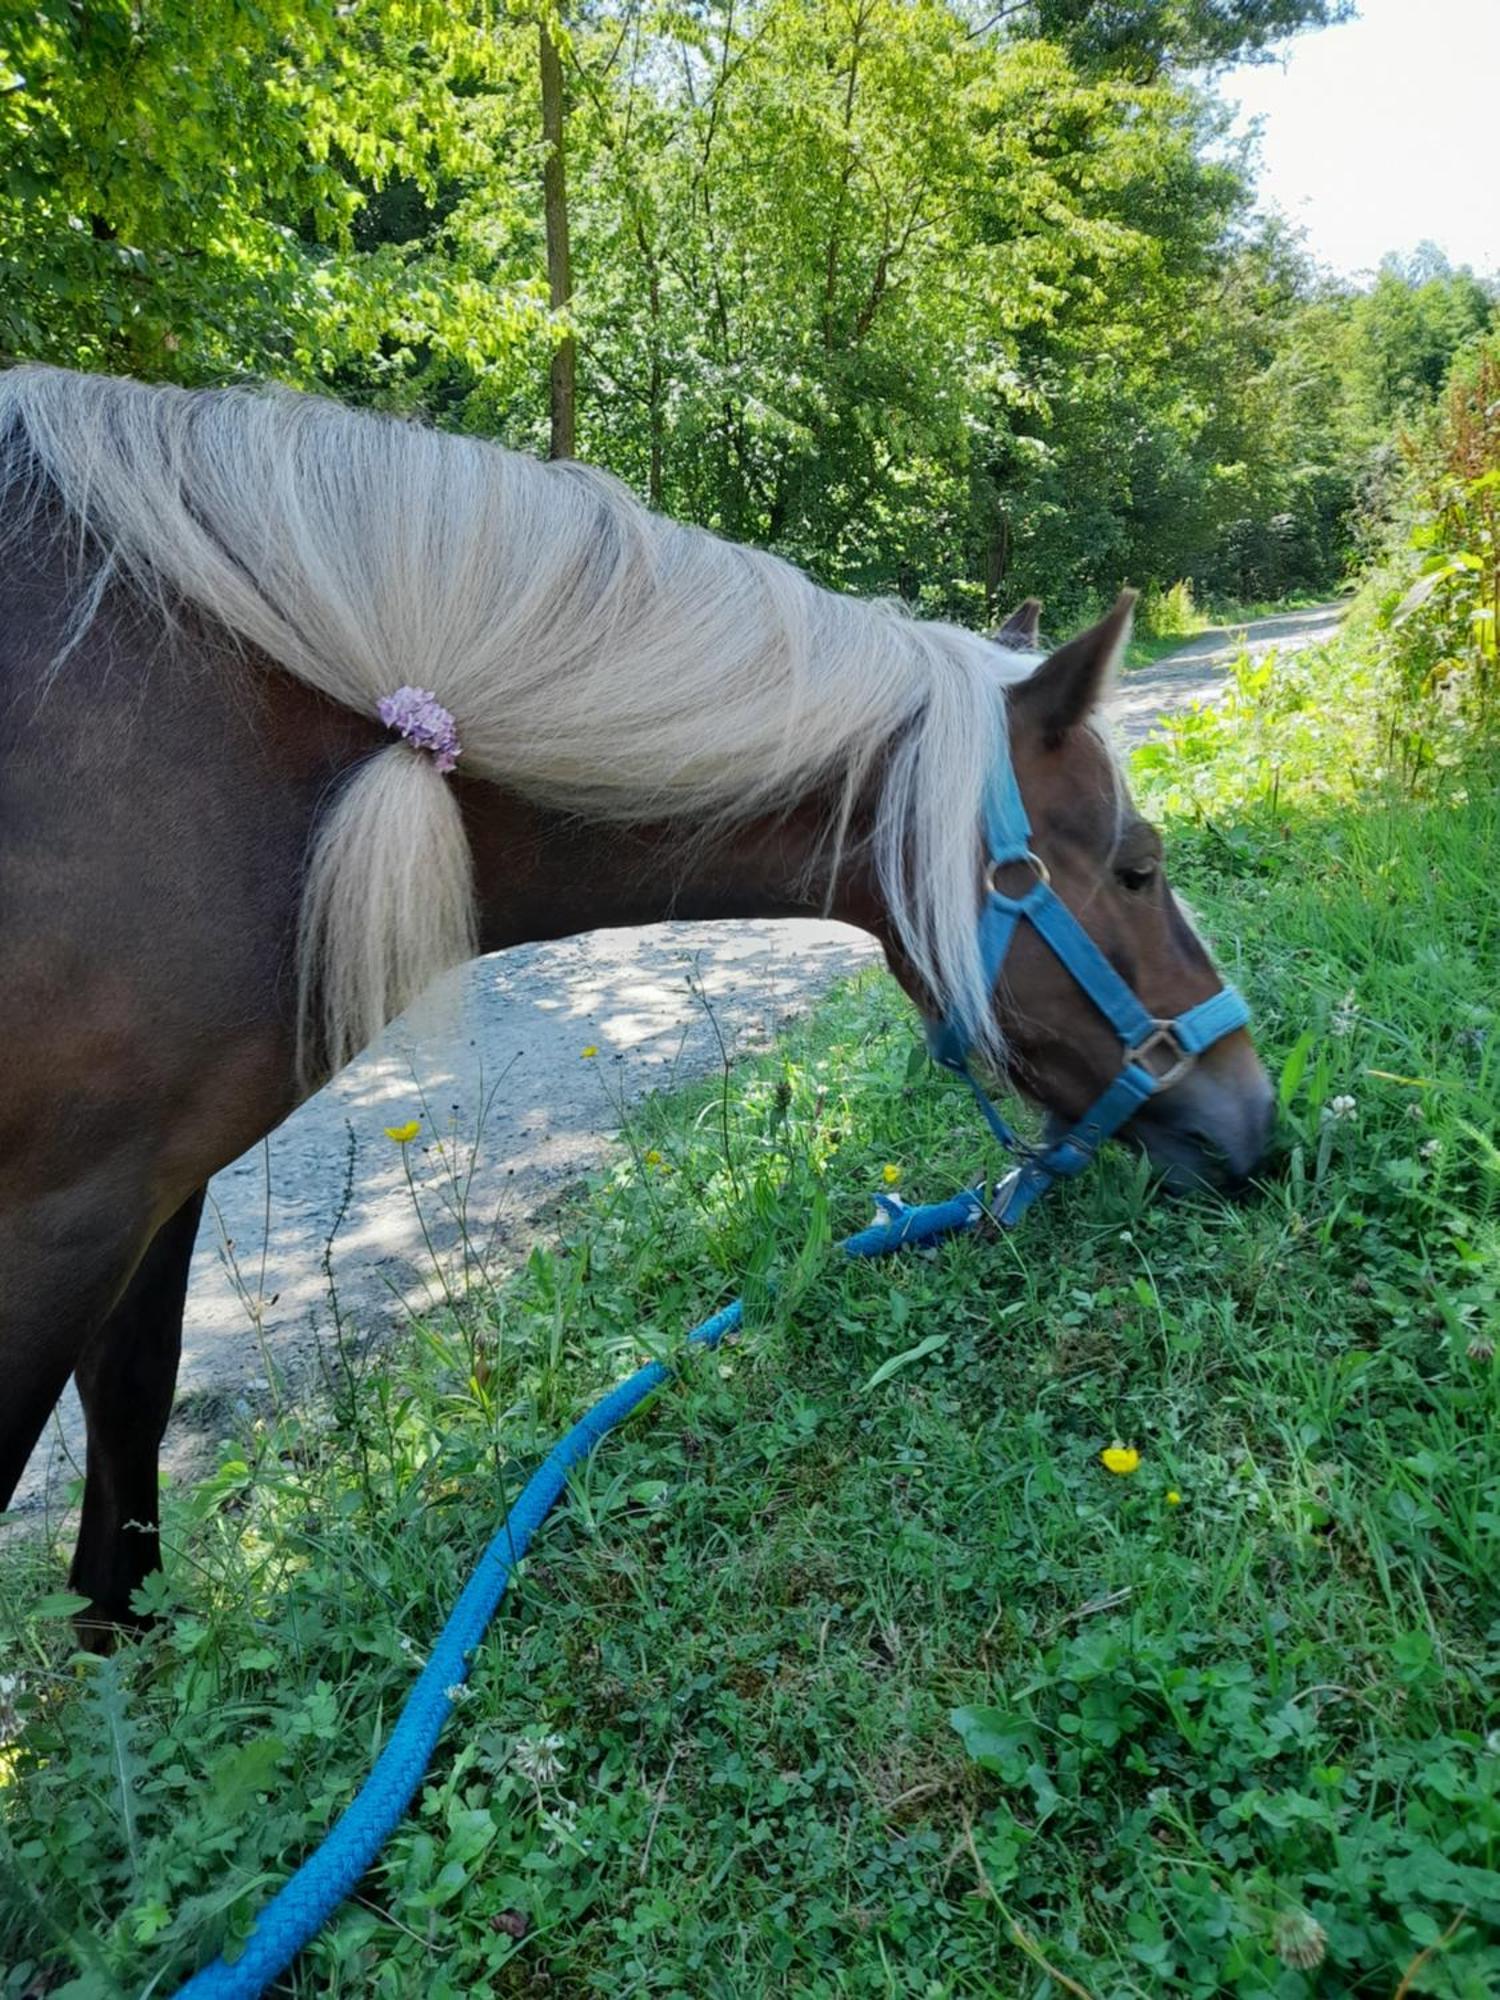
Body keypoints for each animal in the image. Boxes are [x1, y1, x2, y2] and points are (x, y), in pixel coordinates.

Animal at [0, 364, 1272, 1640]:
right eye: (1137, 867)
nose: (1258, 1118)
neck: (209, 771)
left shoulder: (156, 1191)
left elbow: (131, 1430)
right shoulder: (58, 1229)